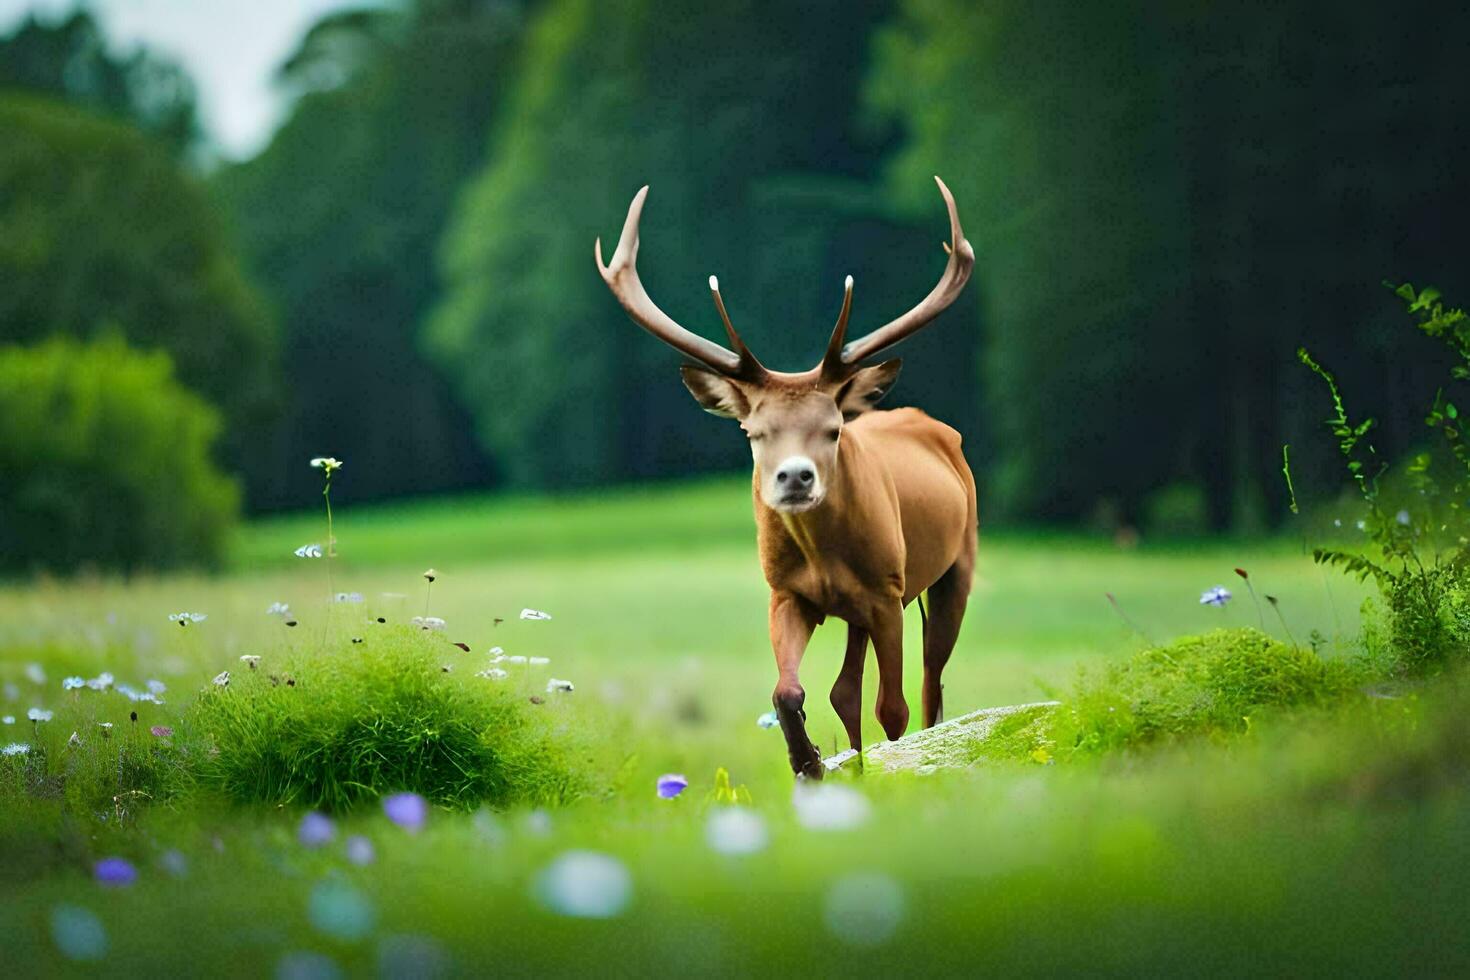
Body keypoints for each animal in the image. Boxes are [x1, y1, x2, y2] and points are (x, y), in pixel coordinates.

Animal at [590, 174, 981, 775]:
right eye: (754, 431)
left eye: (834, 429)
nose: (795, 478)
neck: (822, 558)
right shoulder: (785, 593)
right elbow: (787, 691)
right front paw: (809, 762)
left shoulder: (888, 590)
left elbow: (893, 709)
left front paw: (888, 767)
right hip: (861, 608)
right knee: (846, 690)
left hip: (956, 563)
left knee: (929, 681)